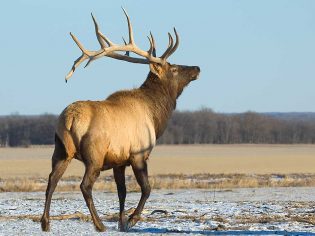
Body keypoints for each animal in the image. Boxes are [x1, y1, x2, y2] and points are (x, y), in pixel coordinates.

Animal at [40, 8, 201, 232]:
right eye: (174, 68)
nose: (197, 68)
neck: (156, 116)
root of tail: (70, 118)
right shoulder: (138, 154)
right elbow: (146, 188)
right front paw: (132, 220)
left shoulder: (119, 161)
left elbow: (122, 192)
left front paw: (122, 222)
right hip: (94, 155)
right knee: (85, 185)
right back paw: (99, 224)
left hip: (61, 150)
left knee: (51, 180)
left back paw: (45, 223)